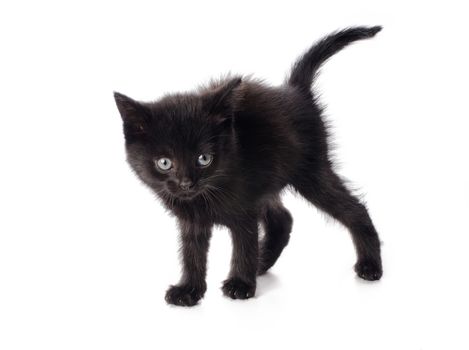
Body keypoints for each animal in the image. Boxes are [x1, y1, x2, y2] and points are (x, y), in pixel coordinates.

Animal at [114, 26, 384, 306]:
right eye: (165, 162)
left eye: (203, 158)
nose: (186, 183)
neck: (205, 196)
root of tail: (294, 90)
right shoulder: (194, 220)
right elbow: (192, 253)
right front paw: (189, 289)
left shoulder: (244, 207)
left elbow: (244, 244)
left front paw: (240, 284)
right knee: (282, 219)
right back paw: (262, 263)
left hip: (310, 171)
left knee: (354, 208)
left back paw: (370, 265)